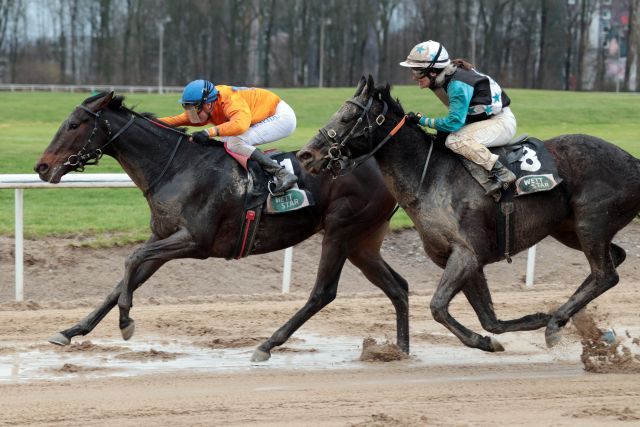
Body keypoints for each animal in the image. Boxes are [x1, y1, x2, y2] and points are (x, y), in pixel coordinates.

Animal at [33, 91, 410, 362]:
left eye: (74, 125)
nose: (41, 166)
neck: (177, 167)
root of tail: (377, 164)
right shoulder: (165, 238)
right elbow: (124, 279)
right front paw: (71, 330)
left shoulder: (195, 241)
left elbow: (131, 259)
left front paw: (126, 322)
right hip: (362, 240)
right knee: (399, 286)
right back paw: (400, 350)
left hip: (340, 230)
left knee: (323, 292)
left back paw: (267, 345)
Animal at [298, 75, 640, 352]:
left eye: (347, 116)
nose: (305, 155)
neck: (430, 177)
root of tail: (632, 160)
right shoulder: (464, 260)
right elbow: (490, 319)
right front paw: (527, 322)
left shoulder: (467, 254)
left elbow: (438, 306)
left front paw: (483, 341)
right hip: (569, 229)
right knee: (613, 259)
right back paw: (569, 320)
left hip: (591, 222)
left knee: (605, 274)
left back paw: (558, 321)